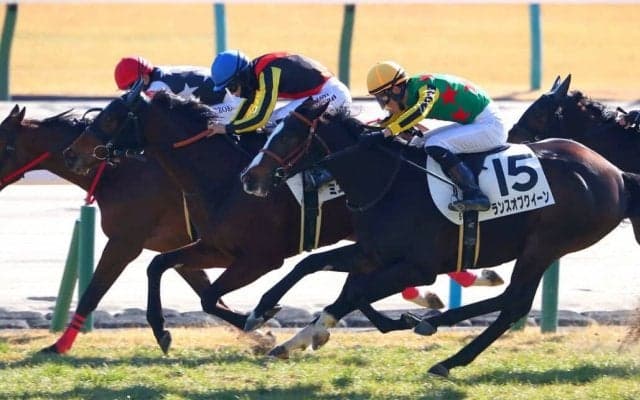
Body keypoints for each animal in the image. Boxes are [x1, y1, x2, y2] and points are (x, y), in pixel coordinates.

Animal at [0, 105, 218, 354]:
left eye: (2, 143)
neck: (116, 172)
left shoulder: (124, 242)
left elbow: (92, 293)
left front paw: (59, 345)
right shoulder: (174, 243)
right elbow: (203, 287)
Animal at [239, 98, 640, 377]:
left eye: (290, 135)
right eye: (271, 129)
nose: (248, 177)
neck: (389, 180)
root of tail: (617, 174)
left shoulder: (418, 267)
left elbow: (352, 293)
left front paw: (312, 333)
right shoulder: (373, 253)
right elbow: (310, 264)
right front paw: (263, 314)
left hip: (543, 246)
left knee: (514, 303)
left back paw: (445, 353)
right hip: (541, 249)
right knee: (511, 301)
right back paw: (434, 330)